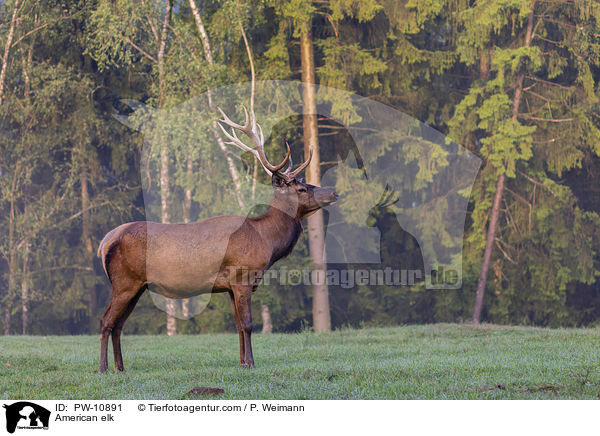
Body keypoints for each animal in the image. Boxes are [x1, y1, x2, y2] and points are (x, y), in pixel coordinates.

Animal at [97, 104, 338, 372]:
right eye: (302, 188)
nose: (334, 193)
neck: (265, 240)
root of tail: (105, 241)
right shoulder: (243, 277)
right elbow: (248, 324)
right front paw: (251, 362)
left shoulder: (230, 286)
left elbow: (238, 325)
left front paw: (242, 362)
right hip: (124, 282)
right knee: (106, 321)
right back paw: (103, 368)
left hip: (137, 286)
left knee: (119, 324)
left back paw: (120, 367)